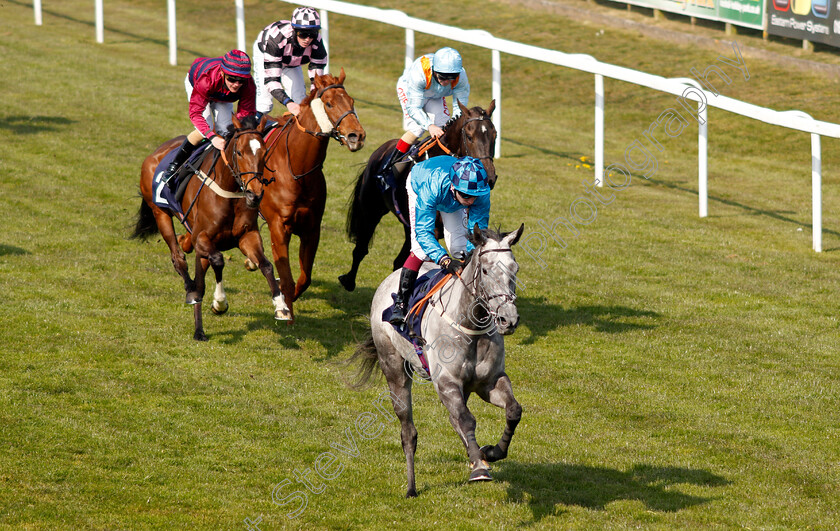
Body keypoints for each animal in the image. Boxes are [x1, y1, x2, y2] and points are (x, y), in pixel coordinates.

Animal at [132, 115, 286, 342]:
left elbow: (266, 265)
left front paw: (281, 306)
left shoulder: (247, 236)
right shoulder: (203, 238)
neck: (230, 192)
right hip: (160, 213)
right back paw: (192, 298)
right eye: (239, 152)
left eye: (264, 152)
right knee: (180, 261)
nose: (255, 194)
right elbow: (218, 260)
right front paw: (219, 302)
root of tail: (156, 152)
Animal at [258, 68, 366, 322]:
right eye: (328, 103)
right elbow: (286, 279)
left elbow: (304, 278)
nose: (357, 136)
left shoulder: (311, 229)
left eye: (352, 102)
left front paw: (290, 300)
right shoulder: (279, 228)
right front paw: (286, 313)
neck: (298, 170)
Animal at [340, 98, 498, 290]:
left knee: (398, 260)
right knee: (361, 249)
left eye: (495, 135)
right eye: (469, 136)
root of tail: (380, 151)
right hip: (370, 212)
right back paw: (349, 281)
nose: (489, 178)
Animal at [350, 224, 520, 498]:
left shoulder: (490, 381)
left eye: (515, 269)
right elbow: (466, 419)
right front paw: (479, 468)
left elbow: (513, 410)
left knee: (454, 419)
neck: (471, 326)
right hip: (394, 369)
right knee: (408, 432)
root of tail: (388, 280)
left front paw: (491, 452)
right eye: (485, 270)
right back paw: (411, 487)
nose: (508, 319)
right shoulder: (446, 383)